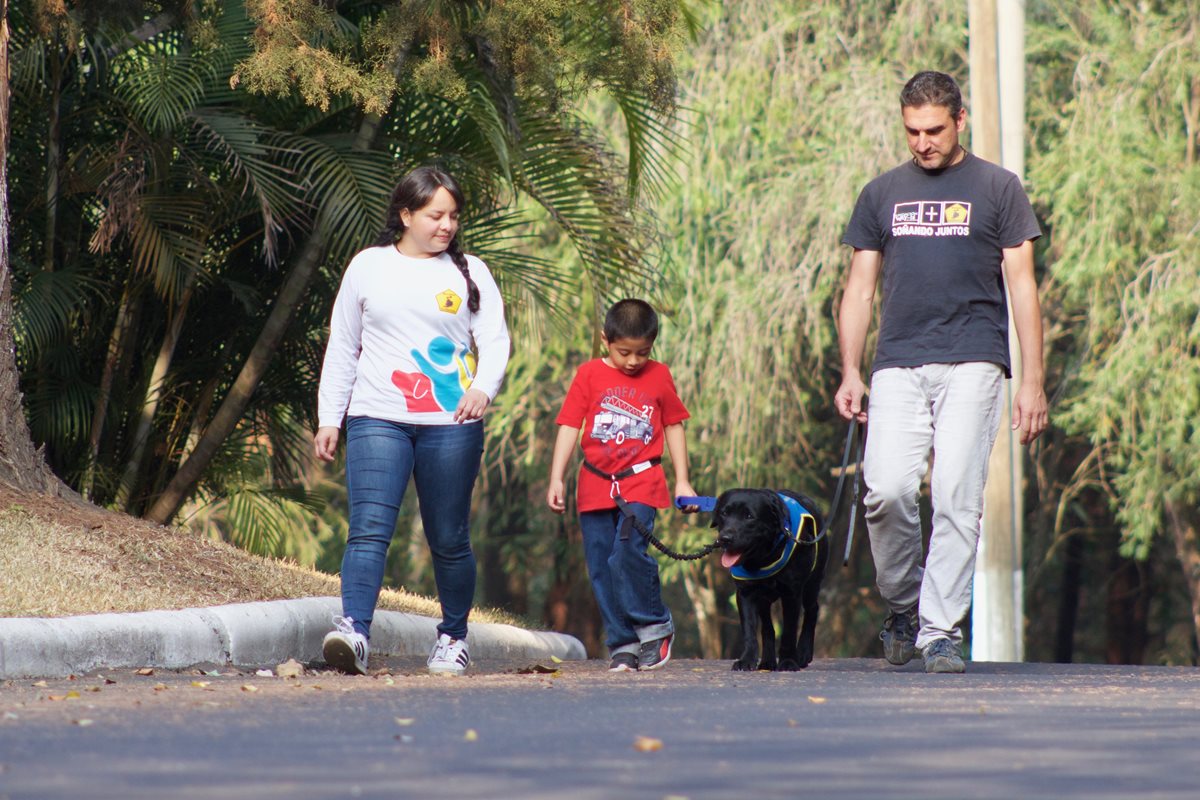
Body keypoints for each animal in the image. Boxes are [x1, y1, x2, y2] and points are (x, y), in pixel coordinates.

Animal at [710, 491, 825, 671]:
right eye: (724, 513)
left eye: (749, 516)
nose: (725, 538)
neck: (762, 558)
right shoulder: (745, 594)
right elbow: (749, 630)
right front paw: (746, 660)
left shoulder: (792, 594)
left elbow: (789, 632)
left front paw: (788, 661)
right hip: (763, 600)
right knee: (767, 628)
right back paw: (767, 661)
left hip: (811, 585)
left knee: (813, 610)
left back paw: (803, 653)